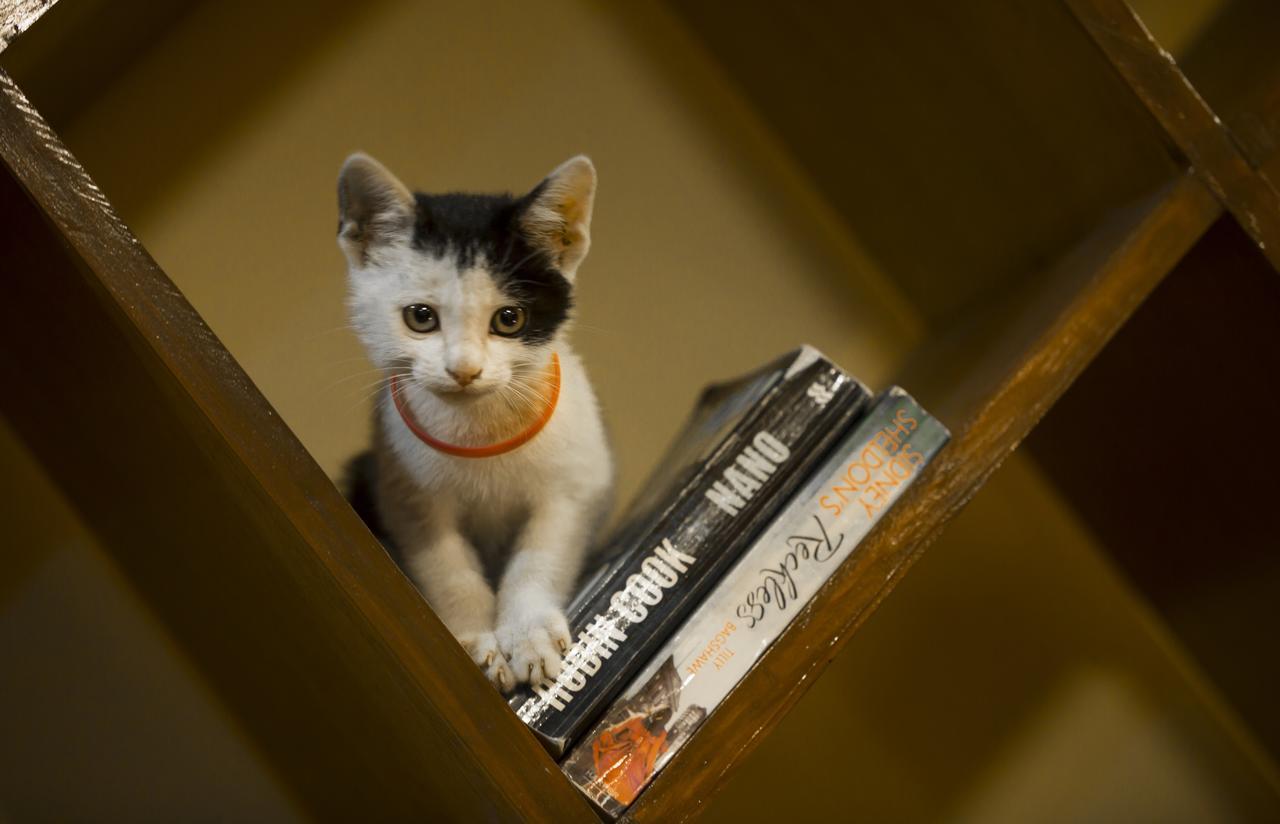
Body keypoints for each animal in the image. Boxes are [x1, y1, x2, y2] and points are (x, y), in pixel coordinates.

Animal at [335, 152, 614, 690]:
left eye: (509, 319)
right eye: (421, 316)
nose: (463, 370)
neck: (482, 424)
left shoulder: (578, 482)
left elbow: (541, 554)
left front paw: (527, 633)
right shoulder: (404, 492)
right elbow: (447, 569)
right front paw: (477, 643)